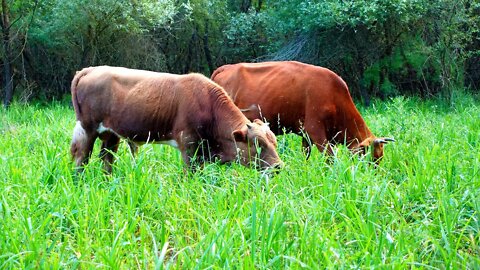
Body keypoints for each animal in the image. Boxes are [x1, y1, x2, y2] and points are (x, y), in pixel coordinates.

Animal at [69, 65, 284, 172]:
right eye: (257, 144)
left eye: (274, 141)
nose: (278, 167)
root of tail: (91, 69)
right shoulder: (189, 147)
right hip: (87, 128)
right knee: (82, 157)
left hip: (111, 134)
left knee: (107, 159)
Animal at [211, 60, 394, 162]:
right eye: (372, 160)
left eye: (380, 159)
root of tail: (226, 67)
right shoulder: (315, 130)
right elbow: (330, 158)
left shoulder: (306, 134)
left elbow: (306, 154)